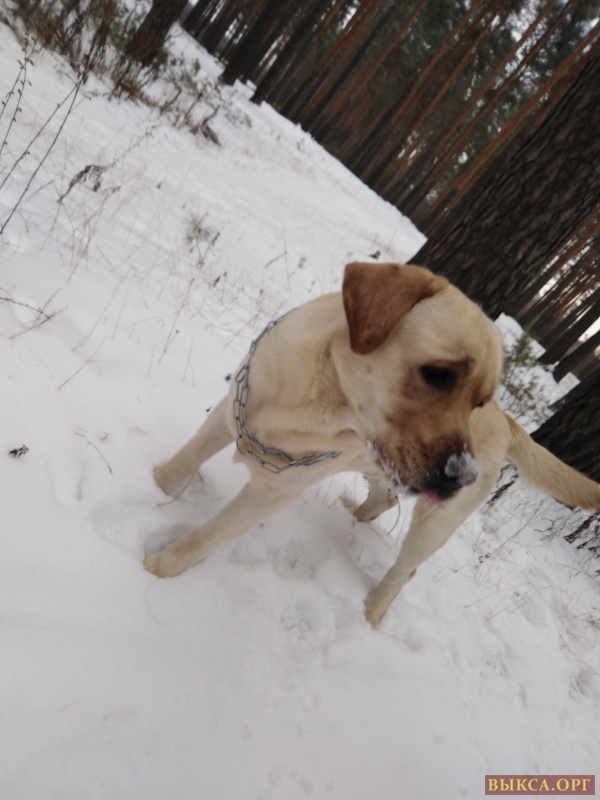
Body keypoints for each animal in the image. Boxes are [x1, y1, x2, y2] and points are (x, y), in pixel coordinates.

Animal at [144, 262, 600, 628]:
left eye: (477, 402)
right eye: (438, 374)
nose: (460, 478)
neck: (316, 394)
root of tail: (507, 420)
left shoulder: (277, 489)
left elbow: (206, 537)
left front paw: (158, 568)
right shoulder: (233, 409)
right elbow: (184, 461)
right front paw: (155, 488)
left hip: (433, 525)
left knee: (405, 570)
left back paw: (370, 614)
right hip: (385, 470)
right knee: (385, 498)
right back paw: (357, 515)